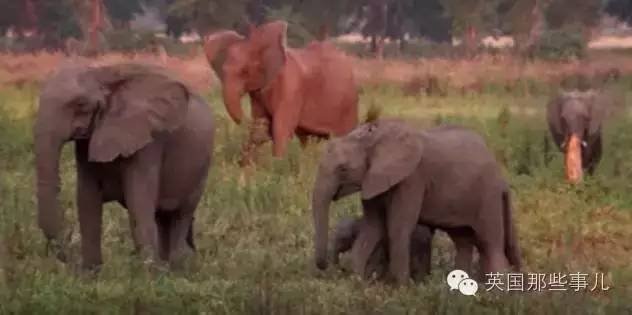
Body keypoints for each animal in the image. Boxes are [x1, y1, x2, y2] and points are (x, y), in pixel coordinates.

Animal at [35, 62, 217, 272]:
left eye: (81, 105)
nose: (68, 257)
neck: (103, 74)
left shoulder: (148, 140)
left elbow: (138, 202)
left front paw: (149, 275)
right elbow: (87, 201)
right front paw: (90, 274)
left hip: (200, 169)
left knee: (181, 214)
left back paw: (178, 267)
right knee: (162, 217)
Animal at [204, 20, 358, 165]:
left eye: (245, 71)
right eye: (223, 70)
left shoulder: (291, 87)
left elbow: (281, 128)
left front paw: (277, 165)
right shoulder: (258, 93)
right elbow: (261, 123)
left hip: (348, 106)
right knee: (306, 139)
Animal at [314, 119, 520, 286]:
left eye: (343, 169)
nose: (324, 267)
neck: (373, 139)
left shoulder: (412, 179)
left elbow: (398, 227)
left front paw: (400, 288)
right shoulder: (373, 179)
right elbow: (372, 228)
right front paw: (356, 282)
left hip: (488, 197)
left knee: (490, 243)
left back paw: (496, 294)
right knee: (463, 241)